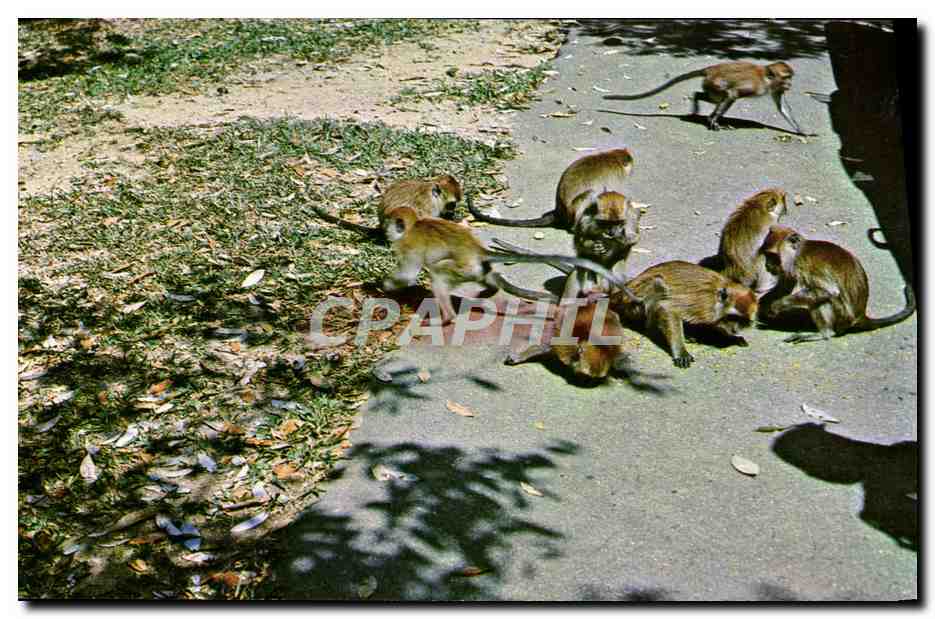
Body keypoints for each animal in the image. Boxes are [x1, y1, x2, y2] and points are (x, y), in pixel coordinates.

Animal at [381, 207, 640, 325]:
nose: (384, 231)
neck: (414, 225)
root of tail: (479, 251)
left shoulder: (408, 246)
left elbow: (407, 275)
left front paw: (383, 286)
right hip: (475, 269)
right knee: (484, 276)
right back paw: (489, 289)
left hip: (463, 268)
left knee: (438, 275)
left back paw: (448, 318)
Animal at [468, 149, 645, 299]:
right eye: (606, 223)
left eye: (618, 223)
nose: (612, 232)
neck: (610, 156)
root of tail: (559, 212)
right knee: (590, 196)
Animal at [603, 61, 804, 134]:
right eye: (786, 77)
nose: (790, 85)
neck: (766, 79)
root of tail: (710, 69)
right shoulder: (755, 86)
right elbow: (733, 94)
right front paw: (714, 121)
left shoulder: (776, 89)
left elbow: (782, 108)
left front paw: (801, 131)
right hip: (713, 83)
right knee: (723, 95)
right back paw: (707, 114)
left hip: (709, 84)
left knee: (713, 97)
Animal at [759, 225, 916, 343]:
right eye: (767, 256)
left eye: (773, 256)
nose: (767, 265)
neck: (798, 251)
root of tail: (860, 315)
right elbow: (786, 286)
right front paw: (763, 304)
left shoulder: (802, 264)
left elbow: (829, 291)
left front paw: (777, 305)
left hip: (843, 316)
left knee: (822, 299)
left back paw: (825, 333)